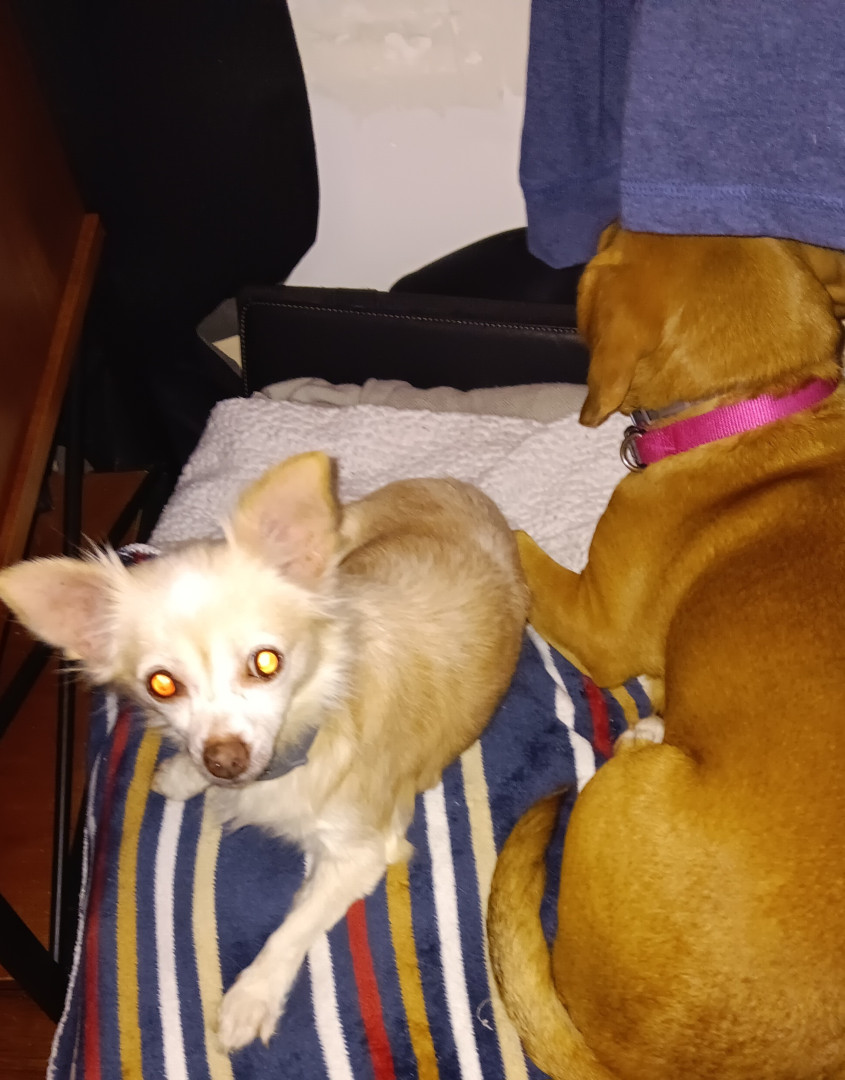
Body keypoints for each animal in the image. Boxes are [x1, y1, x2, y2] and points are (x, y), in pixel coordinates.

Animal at [0, 451, 528, 1051]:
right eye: (162, 684)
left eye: (266, 662)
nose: (222, 760)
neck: (311, 727)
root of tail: (462, 489)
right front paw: (186, 773)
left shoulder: (363, 852)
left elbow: (293, 926)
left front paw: (249, 999)